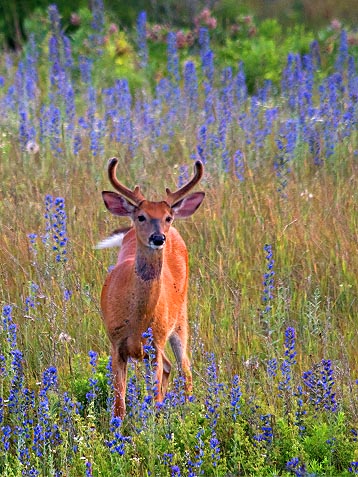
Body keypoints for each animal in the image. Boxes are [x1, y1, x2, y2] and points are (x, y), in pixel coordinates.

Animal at [98, 157, 204, 416]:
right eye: (141, 217)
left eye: (168, 217)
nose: (158, 238)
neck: (136, 320)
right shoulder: (115, 342)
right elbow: (119, 404)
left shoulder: (156, 341)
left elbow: (154, 396)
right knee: (169, 367)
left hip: (180, 319)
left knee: (184, 369)